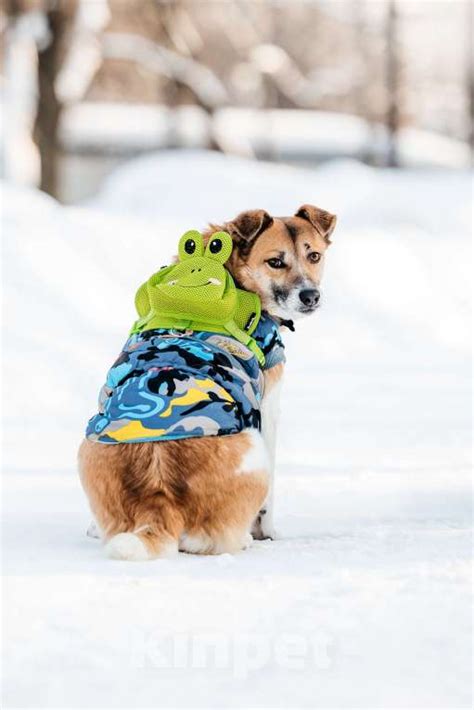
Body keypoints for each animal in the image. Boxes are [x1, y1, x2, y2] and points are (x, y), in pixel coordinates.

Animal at [78, 203, 336, 560]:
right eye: (275, 262)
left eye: (313, 256)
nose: (311, 296)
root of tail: (158, 501)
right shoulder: (268, 409)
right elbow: (269, 498)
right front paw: (267, 532)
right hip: (252, 449)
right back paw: (242, 538)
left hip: (87, 447)